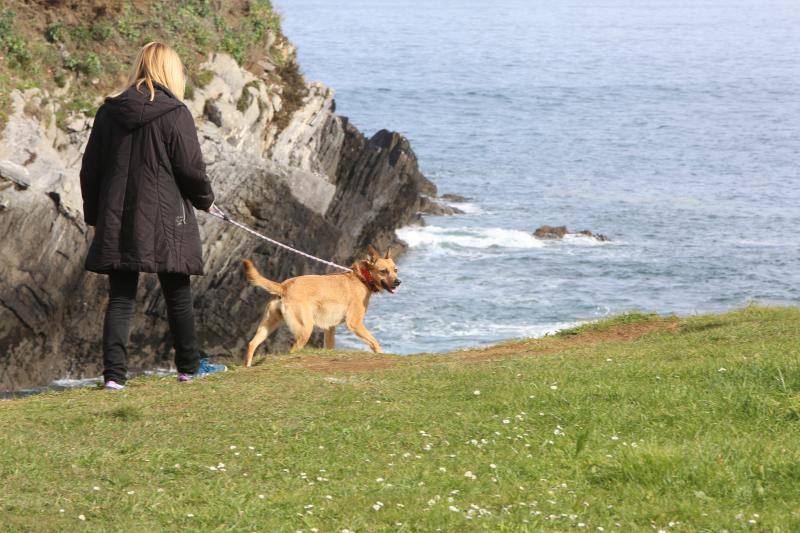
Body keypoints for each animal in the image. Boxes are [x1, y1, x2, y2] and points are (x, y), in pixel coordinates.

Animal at [238, 245, 400, 366]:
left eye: (395, 269)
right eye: (383, 271)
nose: (398, 282)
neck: (362, 278)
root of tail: (284, 286)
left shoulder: (329, 328)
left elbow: (330, 346)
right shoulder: (355, 323)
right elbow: (374, 342)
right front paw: (381, 354)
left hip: (269, 324)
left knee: (252, 343)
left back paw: (247, 366)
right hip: (305, 329)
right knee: (292, 350)